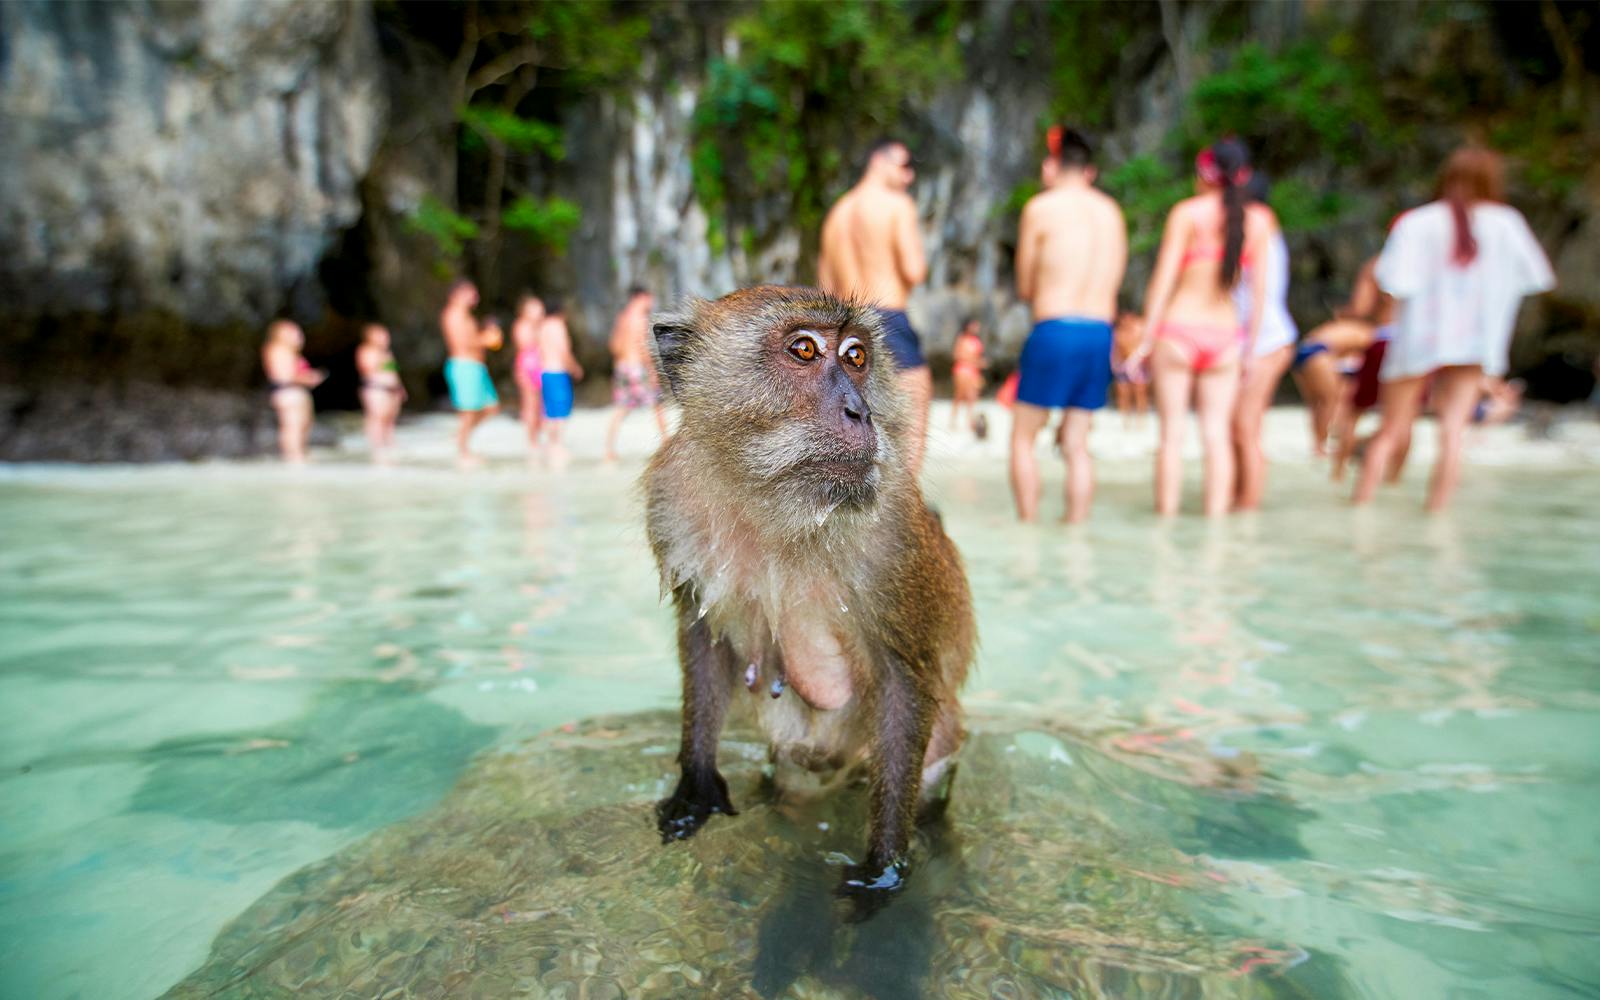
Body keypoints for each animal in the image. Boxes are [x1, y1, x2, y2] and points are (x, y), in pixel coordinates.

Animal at [643, 285, 976, 897]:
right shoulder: (670, 502)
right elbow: (704, 640)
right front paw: (696, 784)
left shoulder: (893, 536)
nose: (860, 410)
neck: (775, 504)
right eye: (803, 349)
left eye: (856, 357)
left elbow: (902, 683)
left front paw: (884, 870)